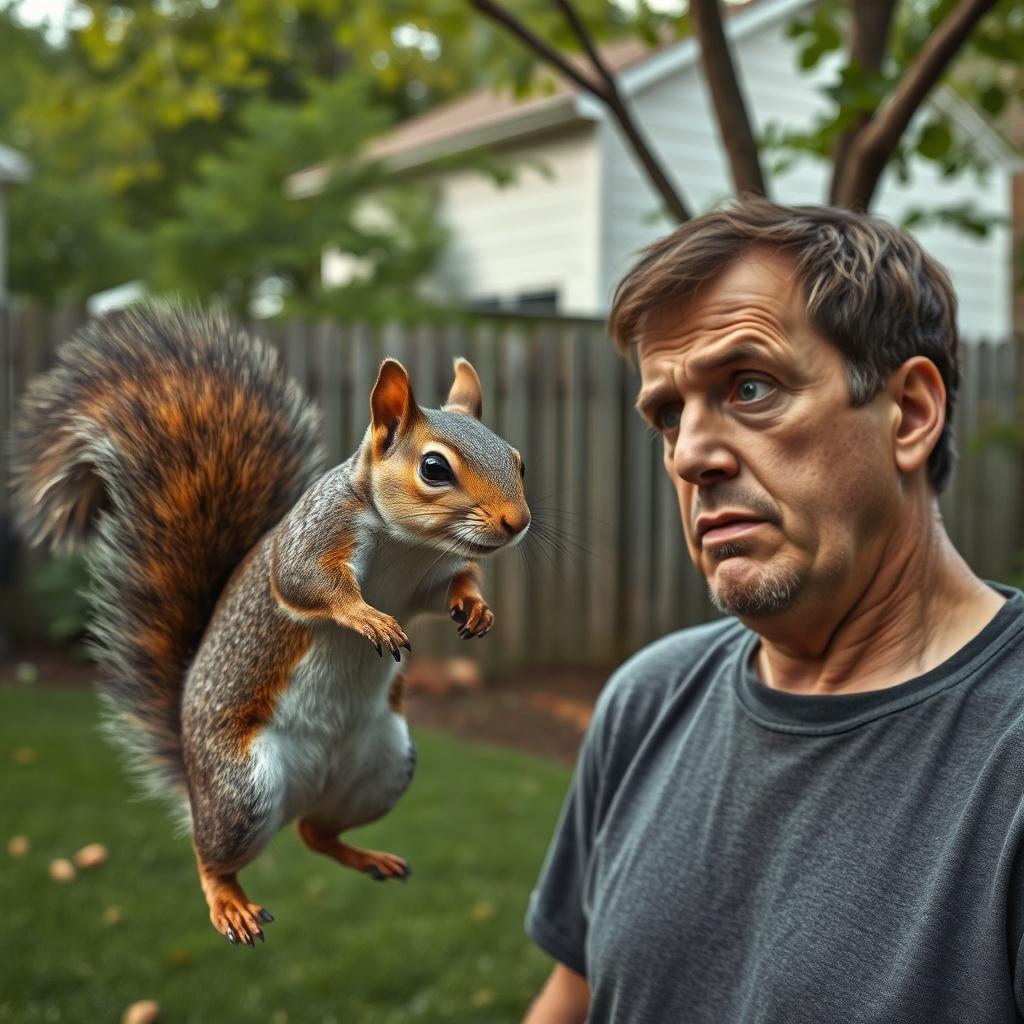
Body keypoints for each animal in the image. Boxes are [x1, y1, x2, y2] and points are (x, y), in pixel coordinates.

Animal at [11, 304, 530, 947]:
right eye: (434, 467)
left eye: (518, 461)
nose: (518, 522)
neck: (408, 547)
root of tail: (196, 781)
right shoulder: (315, 538)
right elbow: (308, 583)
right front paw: (367, 618)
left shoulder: (427, 579)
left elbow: (453, 586)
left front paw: (475, 607)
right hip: (243, 792)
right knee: (212, 855)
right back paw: (228, 901)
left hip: (383, 769)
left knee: (314, 832)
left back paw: (366, 857)